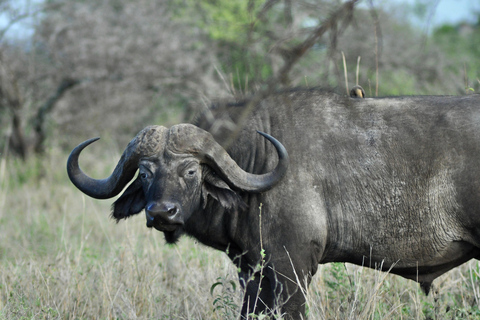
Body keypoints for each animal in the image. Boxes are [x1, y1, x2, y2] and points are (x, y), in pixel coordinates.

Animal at [68, 90, 480, 320]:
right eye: (145, 172)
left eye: (191, 171)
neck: (257, 163)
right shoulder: (251, 271)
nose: (161, 213)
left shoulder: (292, 269)